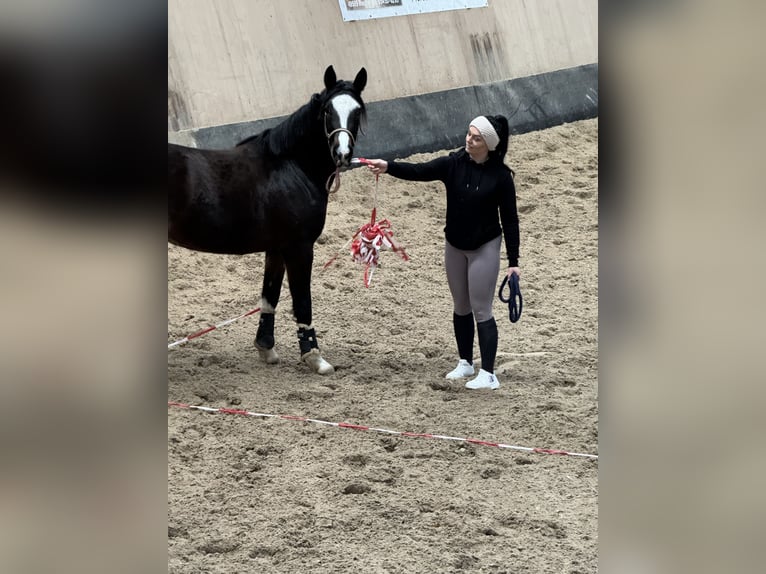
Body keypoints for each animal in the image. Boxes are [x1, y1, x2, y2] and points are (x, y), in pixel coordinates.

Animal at [167, 66, 368, 374]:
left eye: (357, 110)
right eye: (327, 110)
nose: (342, 153)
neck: (290, 165)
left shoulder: (276, 249)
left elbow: (269, 297)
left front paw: (266, 348)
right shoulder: (299, 247)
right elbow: (302, 302)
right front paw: (315, 358)